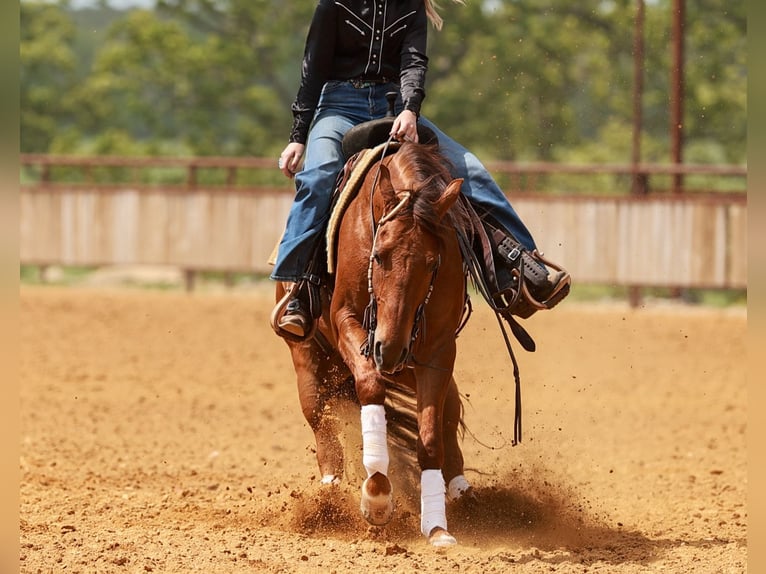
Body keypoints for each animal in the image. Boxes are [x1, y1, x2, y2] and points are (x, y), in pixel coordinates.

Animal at [274, 141, 475, 547]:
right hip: (307, 354)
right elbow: (370, 387)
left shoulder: (438, 349)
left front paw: (437, 527)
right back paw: (330, 494)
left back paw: (461, 489)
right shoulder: (347, 321)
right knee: (319, 414)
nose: (389, 347)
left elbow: (430, 435)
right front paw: (377, 496)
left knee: (449, 408)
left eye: (432, 263)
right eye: (378, 256)